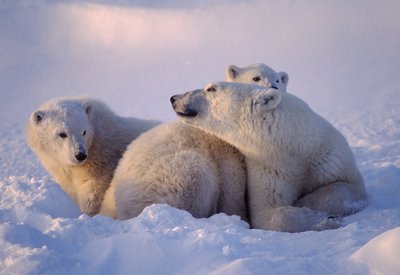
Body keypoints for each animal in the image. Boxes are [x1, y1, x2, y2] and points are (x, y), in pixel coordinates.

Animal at [170, 82, 368, 233]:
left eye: (211, 88)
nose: (174, 98)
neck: (292, 144)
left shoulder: (328, 156)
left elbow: (346, 187)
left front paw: (309, 203)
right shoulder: (269, 166)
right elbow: (267, 212)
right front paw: (322, 218)